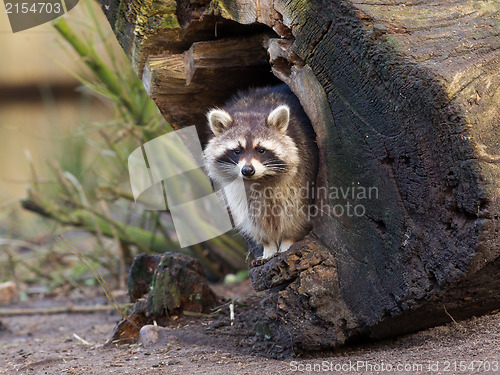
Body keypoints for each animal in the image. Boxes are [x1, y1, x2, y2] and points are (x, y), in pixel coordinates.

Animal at [202, 85, 316, 262]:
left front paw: (288, 240)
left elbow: (294, 212)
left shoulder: (301, 174)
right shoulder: (237, 191)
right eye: (237, 151)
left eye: (261, 150)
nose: (247, 170)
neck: (260, 179)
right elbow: (252, 218)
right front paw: (268, 245)